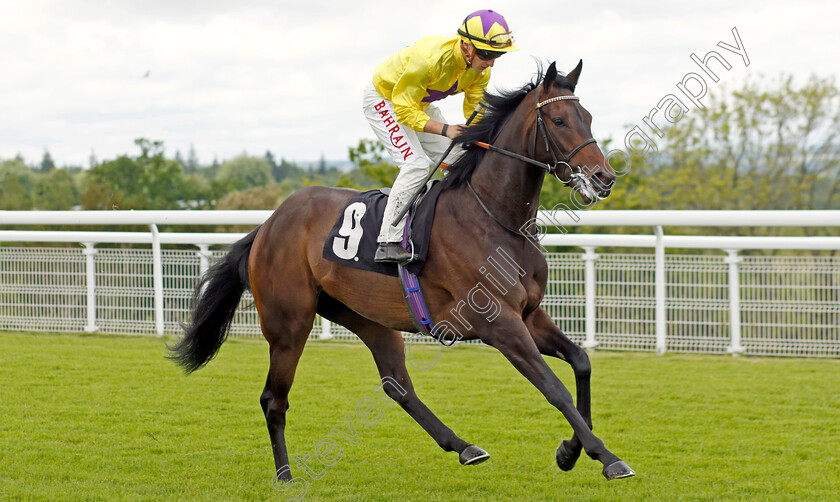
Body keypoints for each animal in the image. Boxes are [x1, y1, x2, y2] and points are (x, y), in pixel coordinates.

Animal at [169, 60, 636, 484]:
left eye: (587, 117)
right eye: (558, 120)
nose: (604, 177)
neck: (493, 216)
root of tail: (268, 224)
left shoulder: (529, 315)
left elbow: (581, 362)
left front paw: (571, 451)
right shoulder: (498, 323)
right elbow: (553, 387)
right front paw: (607, 457)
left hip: (366, 316)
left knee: (397, 384)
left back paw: (464, 446)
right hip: (289, 323)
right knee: (273, 398)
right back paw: (285, 474)